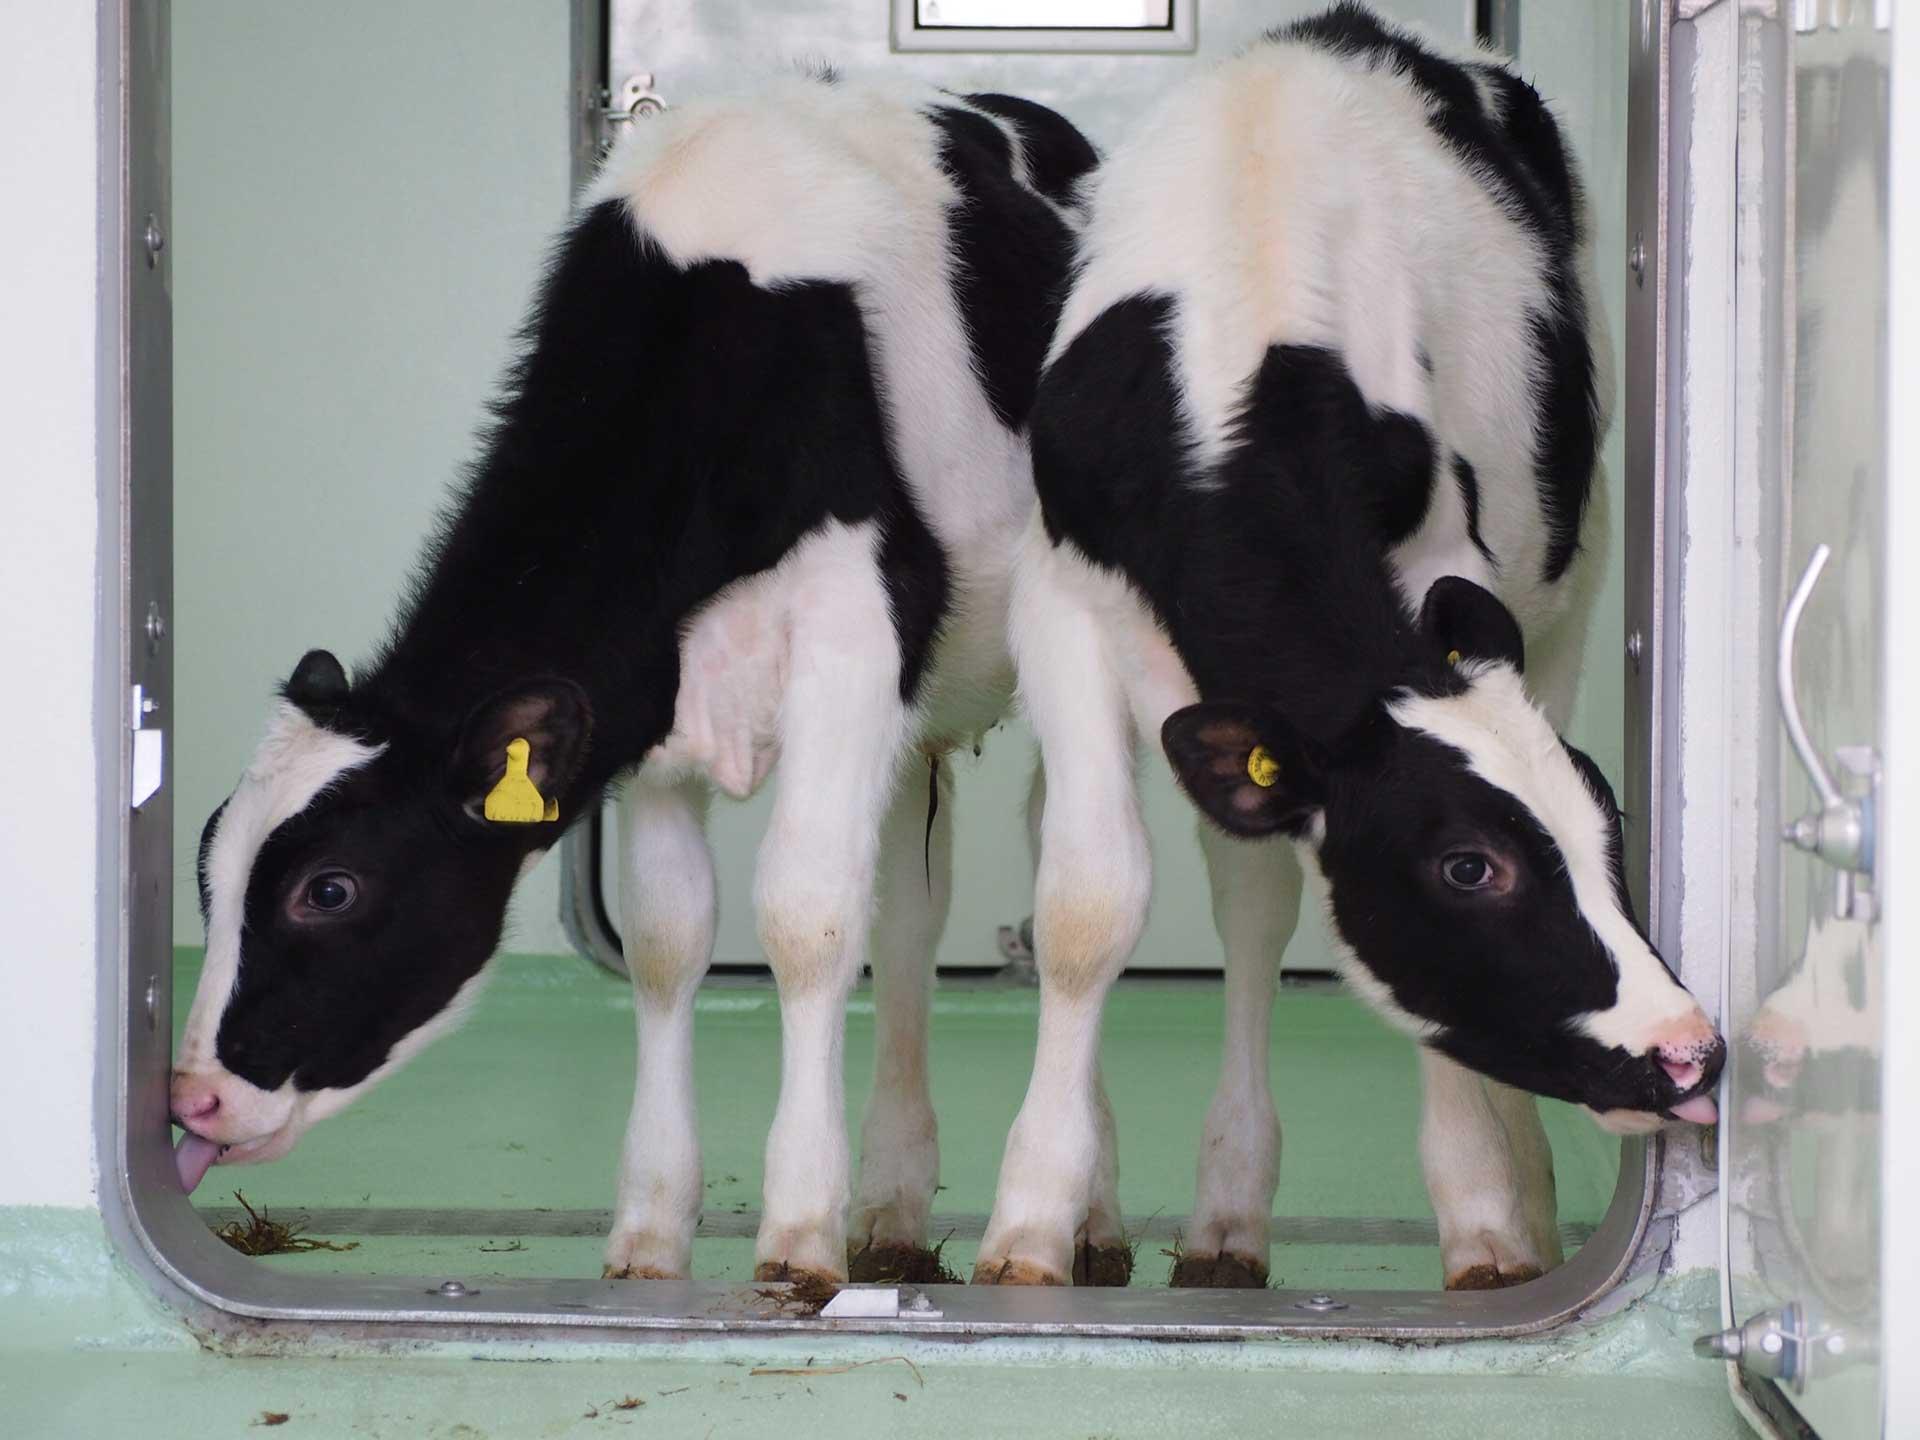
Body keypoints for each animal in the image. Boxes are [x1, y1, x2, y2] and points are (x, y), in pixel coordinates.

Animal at [172, 73, 1097, 1291]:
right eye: (209, 867)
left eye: (329, 889)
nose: (190, 1099)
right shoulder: (652, 699)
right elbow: (667, 944)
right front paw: (651, 1239)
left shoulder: (852, 635)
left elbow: (804, 919)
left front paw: (798, 1231)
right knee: (911, 916)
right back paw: (900, 1213)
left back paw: (1100, 1225)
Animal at [969, 3, 1726, 1292]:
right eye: (1469, 866)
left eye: (1608, 826)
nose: (1687, 1052)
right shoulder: (1063, 606)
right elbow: (1085, 908)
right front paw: (1029, 1225)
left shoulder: (1444, 573)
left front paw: (1487, 1223)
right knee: (1252, 890)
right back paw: (1217, 1218)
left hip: (1567, 590)